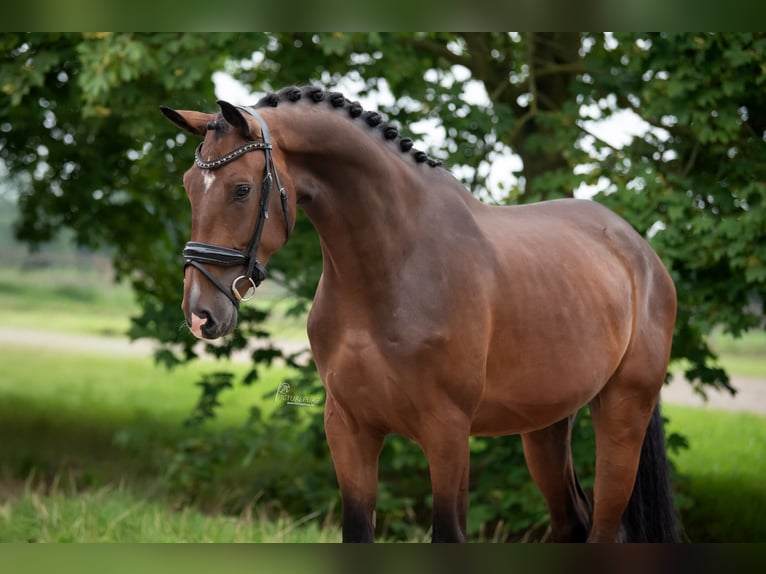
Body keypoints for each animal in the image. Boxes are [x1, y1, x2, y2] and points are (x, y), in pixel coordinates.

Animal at [160, 85, 680, 543]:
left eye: (242, 189)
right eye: (188, 187)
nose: (201, 314)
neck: (392, 270)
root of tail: (641, 252)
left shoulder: (447, 433)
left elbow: (448, 534)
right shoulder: (348, 429)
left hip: (623, 412)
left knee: (606, 528)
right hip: (546, 426)